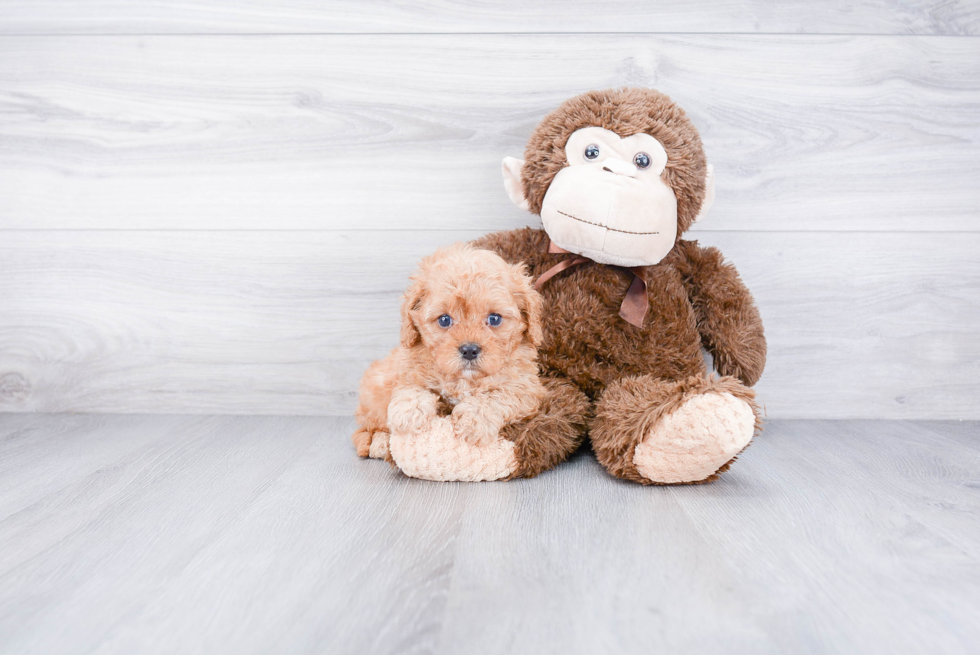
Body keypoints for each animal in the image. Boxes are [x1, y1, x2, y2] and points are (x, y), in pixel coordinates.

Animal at [354, 242, 552, 462]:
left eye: (494, 319)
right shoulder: (407, 368)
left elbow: (498, 396)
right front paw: (409, 411)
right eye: (444, 320)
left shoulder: (526, 388)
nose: (469, 350)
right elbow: (410, 387)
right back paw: (378, 442)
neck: (463, 380)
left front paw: (473, 420)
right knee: (364, 429)